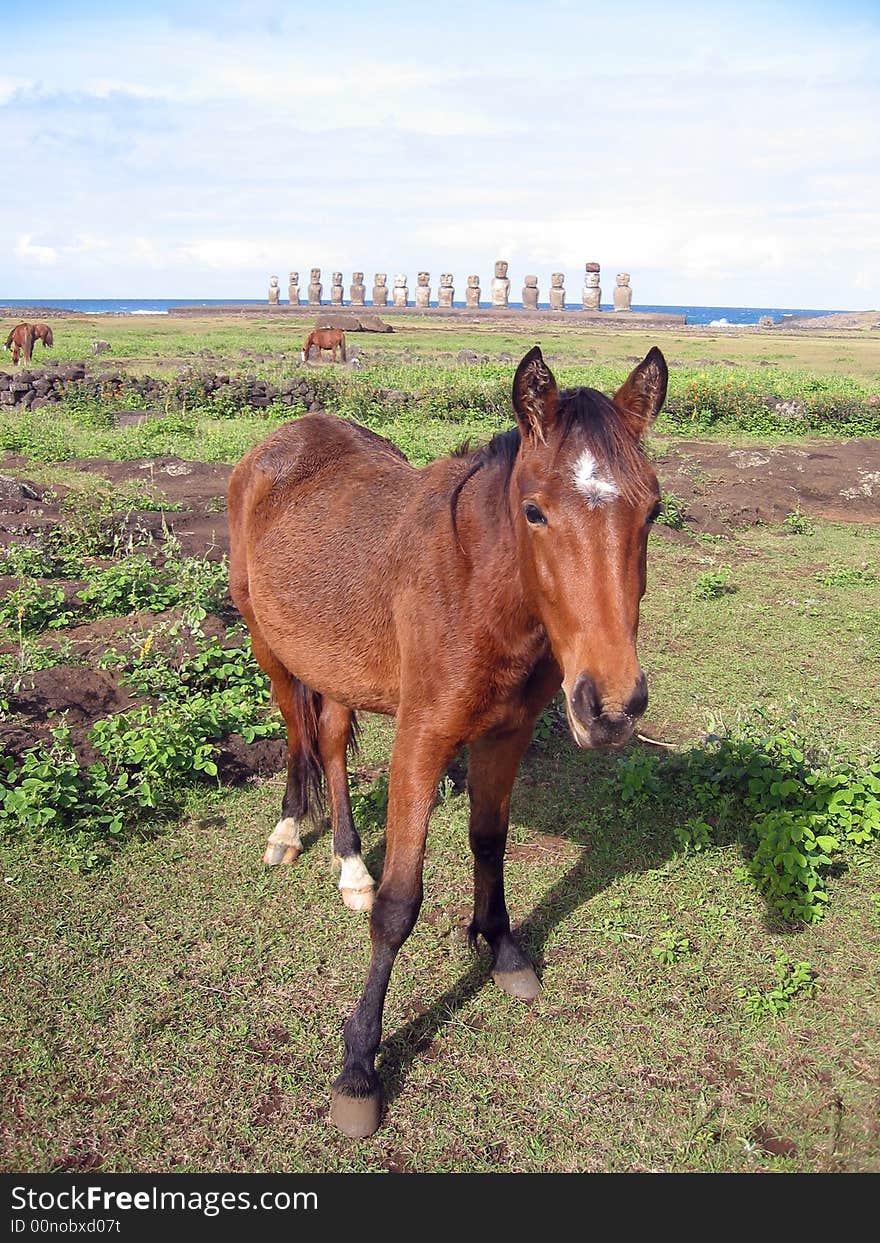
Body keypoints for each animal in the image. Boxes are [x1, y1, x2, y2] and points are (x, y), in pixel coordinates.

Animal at [227, 343, 666, 1138]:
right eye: (534, 510)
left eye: (653, 509)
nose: (612, 706)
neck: (477, 587)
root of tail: (281, 443)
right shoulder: (423, 739)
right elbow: (402, 902)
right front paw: (359, 1065)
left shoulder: (505, 735)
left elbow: (489, 842)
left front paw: (502, 946)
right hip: (271, 648)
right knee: (299, 736)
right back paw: (290, 830)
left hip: (335, 661)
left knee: (329, 742)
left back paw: (350, 866)